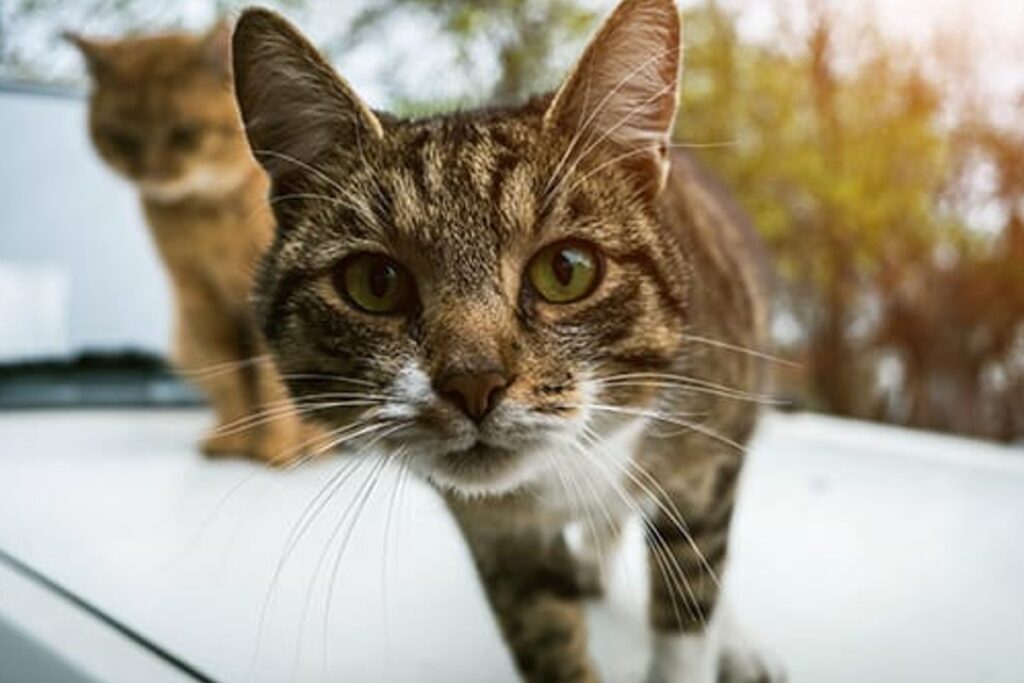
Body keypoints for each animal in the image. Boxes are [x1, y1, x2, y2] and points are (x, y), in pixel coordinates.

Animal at [68, 24, 315, 466]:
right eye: (123, 139)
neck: (207, 215)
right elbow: (229, 377)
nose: (152, 174)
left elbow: (270, 381)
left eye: (184, 134)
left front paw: (280, 446)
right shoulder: (198, 297)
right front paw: (234, 439)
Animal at [230, 1, 774, 679]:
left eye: (567, 269)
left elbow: (689, 599)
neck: (569, 468)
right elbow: (547, 634)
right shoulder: (498, 537)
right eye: (375, 282)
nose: (473, 382)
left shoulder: (706, 461)